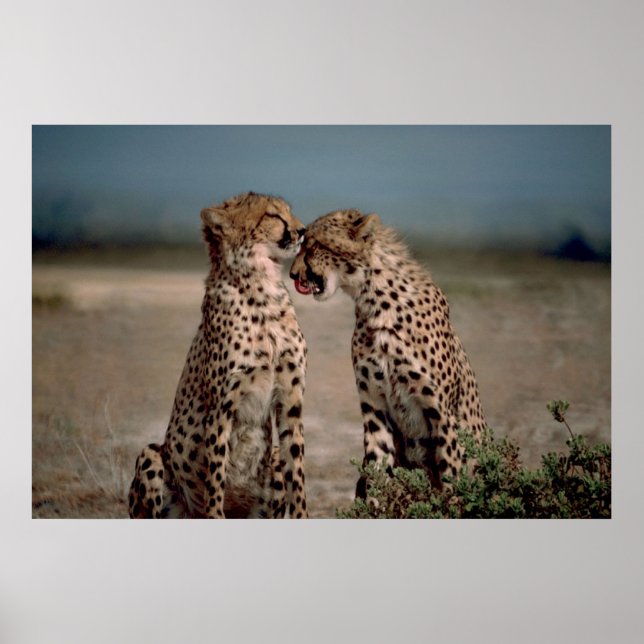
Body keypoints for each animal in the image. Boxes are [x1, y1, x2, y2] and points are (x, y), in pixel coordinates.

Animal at [129, 192, 308, 518]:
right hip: (152, 457)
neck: (261, 288)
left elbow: (298, 475)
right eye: (273, 215)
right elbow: (215, 479)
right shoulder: (221, 407)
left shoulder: (290, 399)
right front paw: (216, 511)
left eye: (289, 211)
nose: (302, 231)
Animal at [289, 208, 486, 493]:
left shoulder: (443, 415)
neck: (375, 303)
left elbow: (451, 479)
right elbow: (376, 470)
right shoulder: (375, 408)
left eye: (315, 245)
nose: (293, 275)